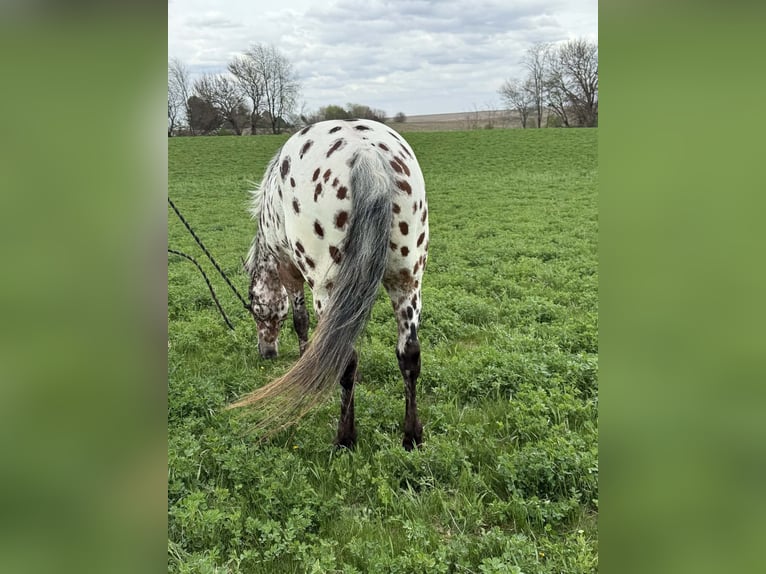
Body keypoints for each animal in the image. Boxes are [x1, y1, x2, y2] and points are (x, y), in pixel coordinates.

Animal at [228, 119, 429, 450]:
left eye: (255, 309)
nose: (266, 351)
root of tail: (365, 152)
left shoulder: (289, 271)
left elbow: (300, 320)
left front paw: (303, 358)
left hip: (328, 288)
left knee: (346, 358)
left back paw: (345, 439)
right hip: (408, 280)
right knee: (409, 354)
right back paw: (411, 436)